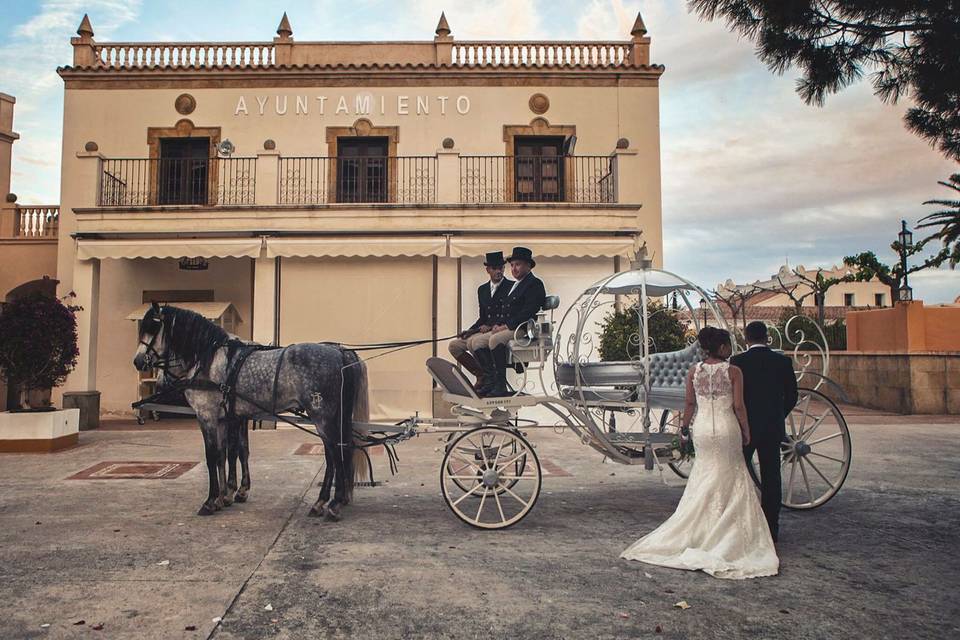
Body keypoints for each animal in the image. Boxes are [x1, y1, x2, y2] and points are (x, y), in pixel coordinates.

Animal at [135, 304, 372, 520]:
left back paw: (333, 503)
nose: (137, 361)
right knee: (336, 453)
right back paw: (325, 502)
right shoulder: (227, 418)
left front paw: (212, 501)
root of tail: (339, 353)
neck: (209, 360)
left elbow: (214, 456)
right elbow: (227, 454)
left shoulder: (207, 416)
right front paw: (225, 496)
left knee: (335, 453)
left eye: (153, 327)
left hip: (322, 416)